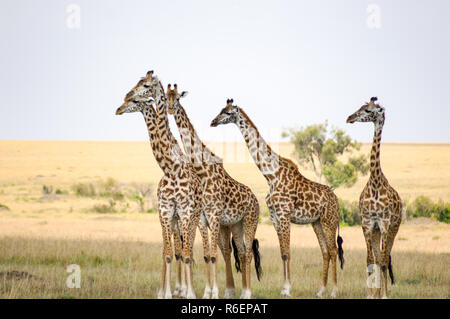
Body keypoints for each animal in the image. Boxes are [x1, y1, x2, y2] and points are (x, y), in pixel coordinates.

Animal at [116, 75, 202, 300]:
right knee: (175, 249)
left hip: (194, 217)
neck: (171, 168)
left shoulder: (184, 211)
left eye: (145, 86)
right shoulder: (165, 211)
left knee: (189, 249)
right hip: (174, 219)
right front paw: (165, 293)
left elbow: (185, 253)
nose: (119, 107)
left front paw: (187, 293)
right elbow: (168, 253)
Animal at [165, 83, 262, 300]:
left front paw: (213, 293)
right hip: (235, 225)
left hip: (250, 221)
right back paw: (240, 291)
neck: (203, 171)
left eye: (177, 98)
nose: (170, 109)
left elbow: (213, 255)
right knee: (240, 251)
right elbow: (207, 255)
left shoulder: (214, 215)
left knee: (248, 251)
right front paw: (207, 293)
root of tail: (256, 200)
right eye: (166, 97)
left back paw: (247, 293)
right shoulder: (203, 218)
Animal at [211, 99, 344, 298]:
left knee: (334, 250)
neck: (271, 175)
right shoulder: (275, 217)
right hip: (317, 223)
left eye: (227, 112)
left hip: (330, 221)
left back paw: (334, 291)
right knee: (326, 251)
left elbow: (288, 252)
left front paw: (287, 289)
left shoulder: (284, 214)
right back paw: (320, 290)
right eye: (220, 110)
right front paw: (284, 287)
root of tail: (337, 201)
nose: (213, 121)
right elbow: (282, 252)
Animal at [346, 96, 402, 298]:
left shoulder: (384, 223)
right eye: (361, 107)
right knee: (378, 258)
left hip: (394, 227)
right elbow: (370, 260)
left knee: (385, 258)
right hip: (377, 231)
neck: (375, 182)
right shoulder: (367, 223)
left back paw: (382, 292)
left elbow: (383, 262)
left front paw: (383, 295)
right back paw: (376, 292)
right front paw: (370, 294)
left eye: (369, 111)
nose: (349, 117)